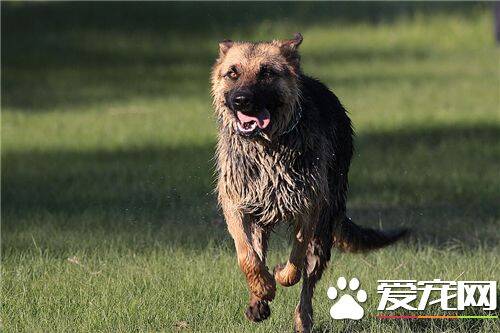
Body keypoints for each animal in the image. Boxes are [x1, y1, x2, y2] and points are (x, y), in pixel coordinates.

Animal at [211, 34, 406, 332]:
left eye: (267, 73)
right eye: (232, 73)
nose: (241, 100)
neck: (268, 146)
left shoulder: (308, 209)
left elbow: (295, 265)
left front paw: (279, 274)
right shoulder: (237, 205)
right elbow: (247, 256)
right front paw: (262, 287)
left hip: (323, 232)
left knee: (308, 281)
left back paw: (303, 318)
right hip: (262, 222)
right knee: (259, 251)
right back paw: (258, 301)